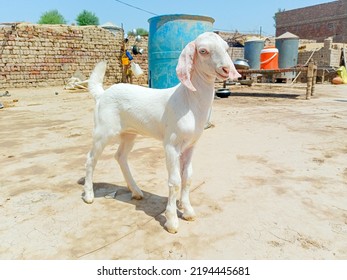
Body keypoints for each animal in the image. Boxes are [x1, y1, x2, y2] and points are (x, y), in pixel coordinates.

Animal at [83, 31, 242, 233]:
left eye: (226, 48)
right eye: (203, 51)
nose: (226, 69)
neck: (189, 100)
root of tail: (102, 94)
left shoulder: (191, 145)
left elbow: (187, 177)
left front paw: (188, 210)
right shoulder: (171, 144)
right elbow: (174, 181)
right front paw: (172, 220)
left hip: (129, 133)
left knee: (120, 156)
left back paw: (136, 191)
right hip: (103, 130)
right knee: (91, 159)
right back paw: (89, 195)